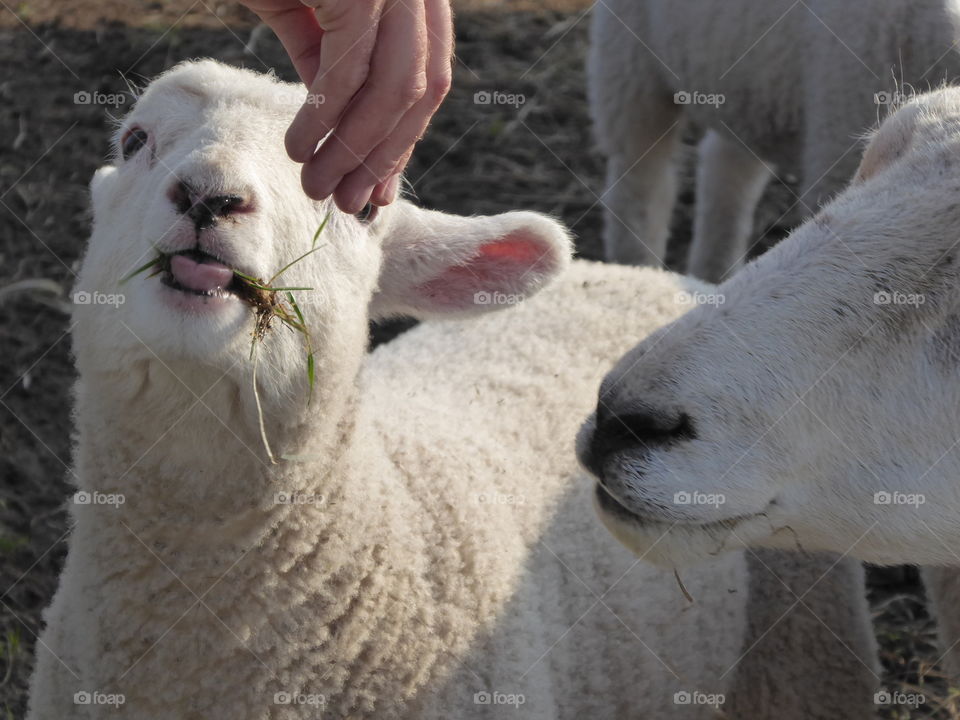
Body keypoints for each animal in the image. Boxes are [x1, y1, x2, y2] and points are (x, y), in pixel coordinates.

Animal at [588, 0, 960, 282]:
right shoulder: (838, 138)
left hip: (749, 88)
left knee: (726, 170)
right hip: (629, 59)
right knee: (640, 178)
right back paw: (636, 265)